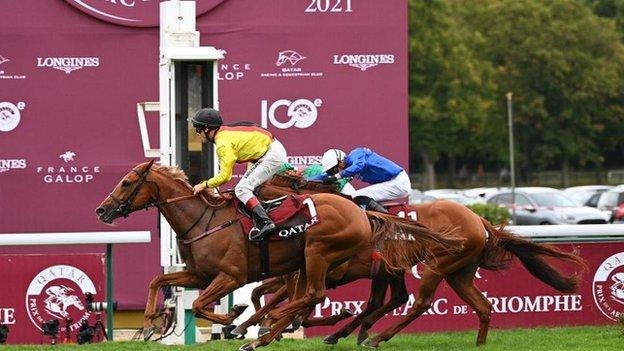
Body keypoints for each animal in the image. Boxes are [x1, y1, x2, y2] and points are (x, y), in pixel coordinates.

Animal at [95, 162, 460, 350]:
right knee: (360, 299)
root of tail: (362, 212)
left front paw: (235, 318)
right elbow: (159, 280)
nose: (102, 209)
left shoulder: (231, 276)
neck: (204, 219)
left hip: (317, 252)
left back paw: (273, 329)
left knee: (315, 295)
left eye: (127, 182)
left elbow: (203, 304)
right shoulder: (200, 274)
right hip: (342, 266)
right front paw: (148, 323)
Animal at [244, 172, 584, 348]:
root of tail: (478, 219)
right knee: (482, 306)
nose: (259, 221)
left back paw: (373, 337)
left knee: (419, 302)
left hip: (436, 265)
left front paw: (260, 327)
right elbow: (271, 294)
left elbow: (291, 299)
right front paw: (261, 325)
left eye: (258, 192)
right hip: (457, 273)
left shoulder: (327, 271)